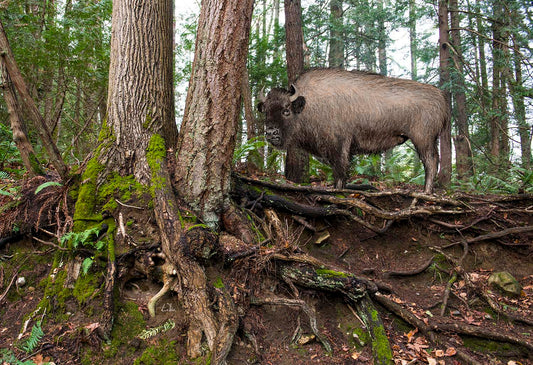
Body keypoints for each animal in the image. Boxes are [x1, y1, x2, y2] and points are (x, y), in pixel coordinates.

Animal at [258, 68, 448, 193]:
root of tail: (441, 96)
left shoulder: (340, 145)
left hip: (423, 140)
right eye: (265, 111)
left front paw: (338, 190)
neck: (309, 104)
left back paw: (426, 192)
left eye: (286, 110)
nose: (271, 133)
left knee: (431, 162)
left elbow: (340, 170)